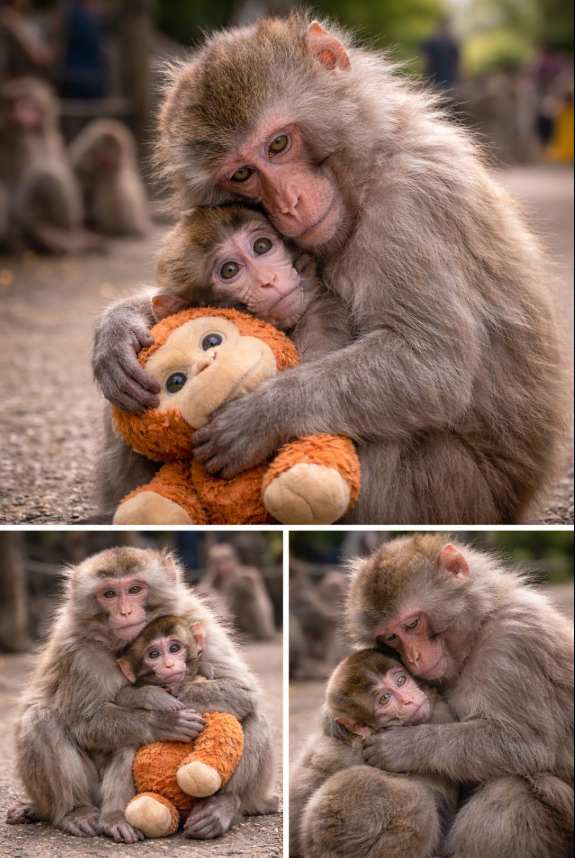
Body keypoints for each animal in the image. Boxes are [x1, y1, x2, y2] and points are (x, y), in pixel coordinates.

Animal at [0, 77, 87, 254]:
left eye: (29, 102)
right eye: (17, 101)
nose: (21, 110)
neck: (31, 131)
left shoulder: (53, 137)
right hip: (26, 216)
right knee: (47, 175)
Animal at [6, 547, 278, 842]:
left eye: (135, 589)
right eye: (109, 594)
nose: (125, 611)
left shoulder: (196, 618)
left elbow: (241, 689)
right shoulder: (76, 650)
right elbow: (86, 722)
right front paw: (158, 712)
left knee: (252, 716)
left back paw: (221, 806)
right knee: (42, 719)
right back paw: (85, 813)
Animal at [92, 13, 566, 525]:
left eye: (279, 144)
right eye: (241, 174)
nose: (290, 203)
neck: (361, 178)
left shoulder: (411, 202)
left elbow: (433, 363)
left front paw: (261, 417)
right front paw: (118, 329)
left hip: (455, 491)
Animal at [337, 534, 574, 858]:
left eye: (412, 624)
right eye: (390, 637)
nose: (414, 657)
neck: (475, 634)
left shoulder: (515, 642)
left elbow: (529, 745)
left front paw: (405, 746)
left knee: (513, 792)